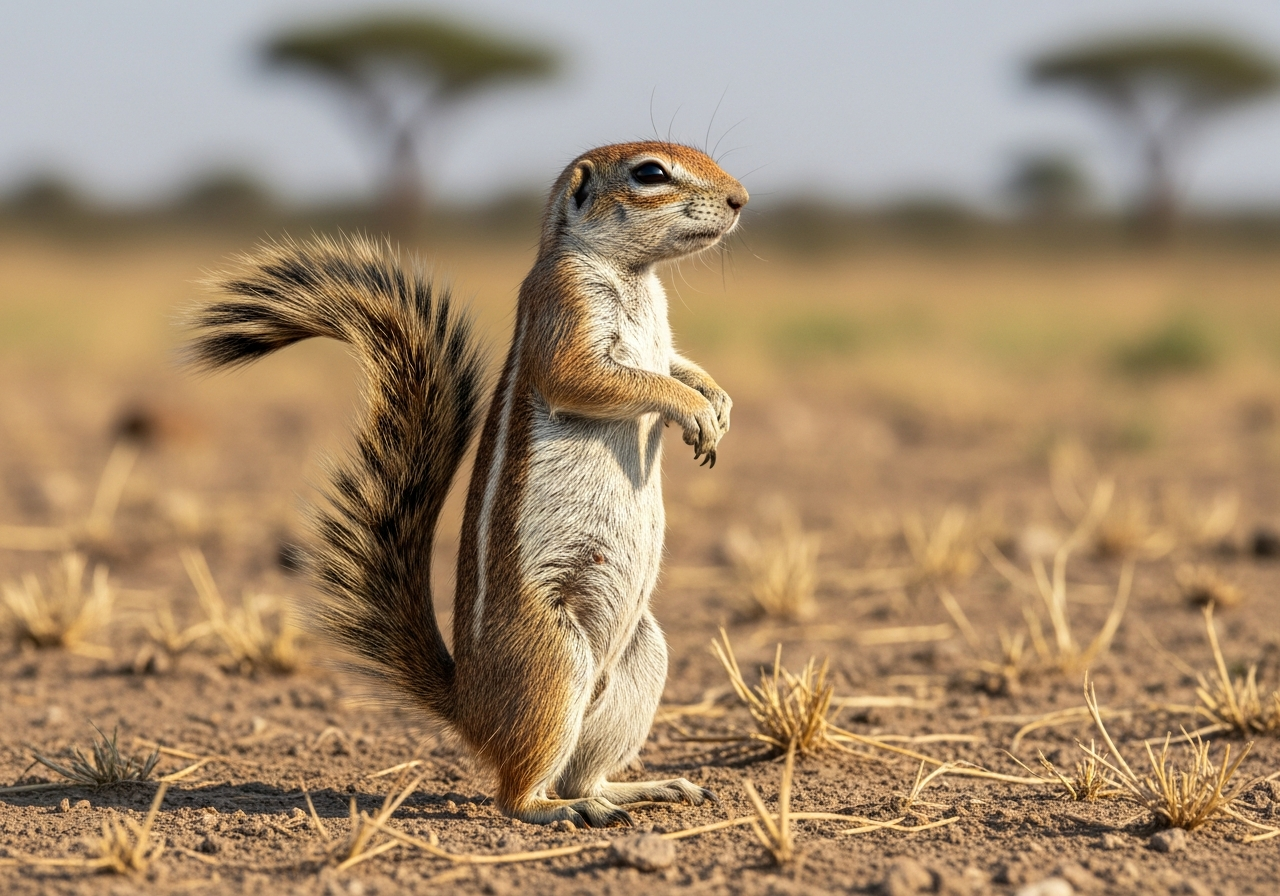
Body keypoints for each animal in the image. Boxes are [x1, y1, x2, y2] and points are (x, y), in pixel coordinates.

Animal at [186, 141, 748, 827]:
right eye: (650, 173)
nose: (741, 199)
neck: (635, 276)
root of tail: (470, 707)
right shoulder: (565, 309)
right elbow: (595, 377)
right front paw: (692, 410)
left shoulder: (660, 340)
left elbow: (676, 364)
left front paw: (717, 402)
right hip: (554, 660)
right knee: (517, 793)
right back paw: (559, 811)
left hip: (641, 659)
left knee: (579, 774)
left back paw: (637, 791)